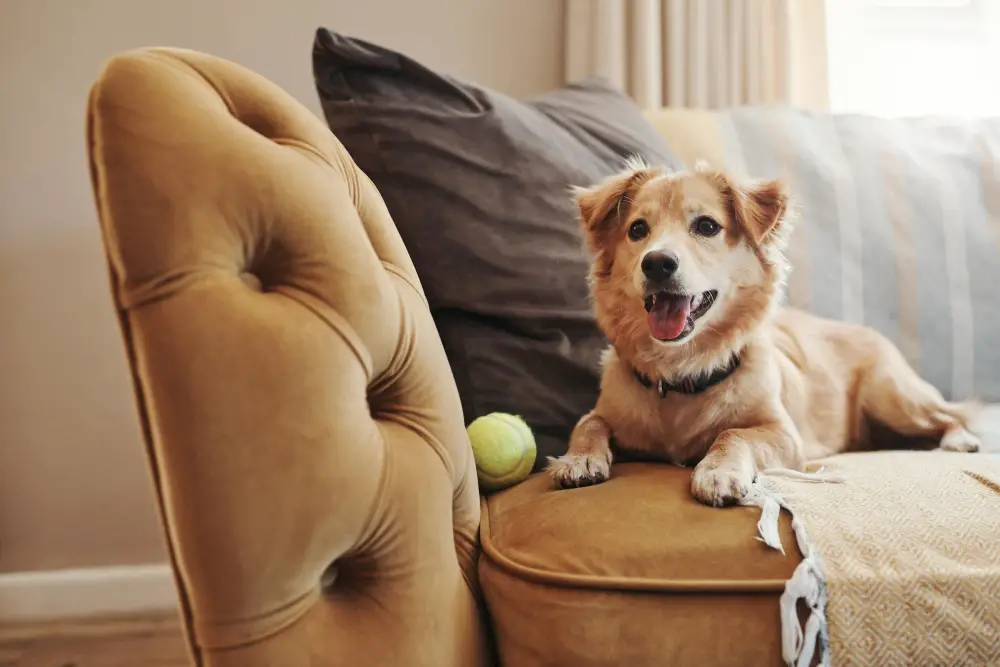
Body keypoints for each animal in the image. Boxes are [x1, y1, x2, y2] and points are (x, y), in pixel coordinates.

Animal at [544, 160, 980, 506]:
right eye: (637, 230)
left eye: (706, 226)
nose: (657, 263)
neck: (683, 372)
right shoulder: (606, 412)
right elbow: (588, 423)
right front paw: (578, 459)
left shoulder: (783, 434)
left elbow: (734, 433)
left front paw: (717, 472)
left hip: (893, 398)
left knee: (949, 415)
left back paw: (958, 440)